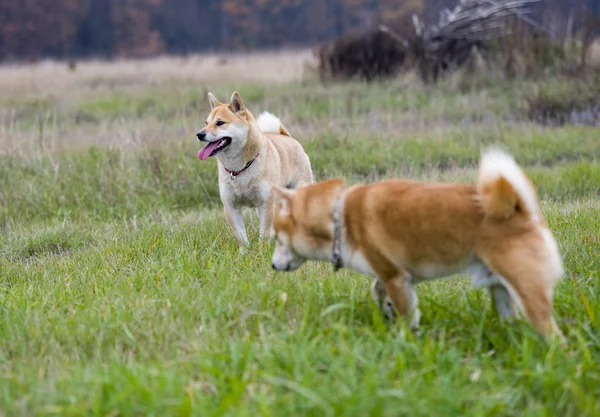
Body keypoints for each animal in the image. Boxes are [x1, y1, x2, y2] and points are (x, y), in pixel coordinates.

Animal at [198, 91, 314, 244]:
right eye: (206, 123)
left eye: (220, 123)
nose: (199, 134)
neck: (239, 169)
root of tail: (287, 137)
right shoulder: (231, 207)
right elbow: (241, 236)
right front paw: (245, 250)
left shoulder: (266, 203)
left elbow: (264, 234)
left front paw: (262, 248)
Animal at [270, 150, 564, 342]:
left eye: (277, 238)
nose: (272, 265)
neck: (338, 216)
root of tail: (521, 210)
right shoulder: (390, 274)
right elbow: (377, 290)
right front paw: (385, 311)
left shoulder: (396, 278)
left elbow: (404, 312)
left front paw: (404, 337)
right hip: (500, 289)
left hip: (526, 291)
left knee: (554, 335)